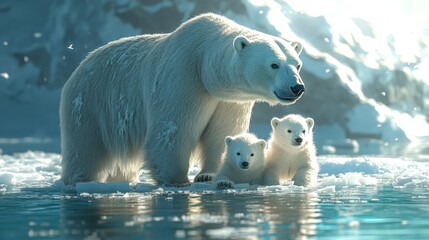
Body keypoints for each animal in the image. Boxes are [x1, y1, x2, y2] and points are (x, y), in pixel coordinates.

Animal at [60, 12, 304, 186]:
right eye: (274, 64)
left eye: (297, 64)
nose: (297, 87)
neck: (204, 61)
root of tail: (81, 65)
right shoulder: (183, 77)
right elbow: (172, 130)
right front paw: (178, 179)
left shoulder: (229, 99)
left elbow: (222, 132)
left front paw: (208, 175)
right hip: (90, 102)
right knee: (85, 146)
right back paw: (81, 179)